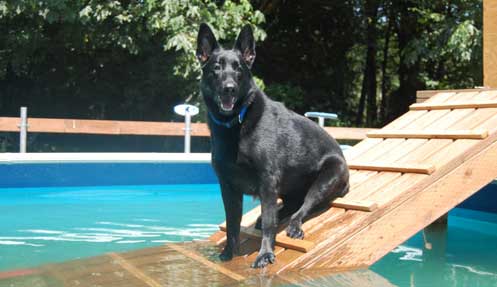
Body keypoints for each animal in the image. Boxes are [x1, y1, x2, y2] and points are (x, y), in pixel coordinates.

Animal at [196, 23, 346, 268]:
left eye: (238, 69)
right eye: (216, 67)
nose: (229, 88)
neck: (236, 122)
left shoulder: (267, 181)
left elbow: (269, 222)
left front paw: (265, 254)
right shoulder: (228, 187)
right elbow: (232, 224)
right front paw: (229, 253)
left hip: (327, 177)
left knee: (304, 206)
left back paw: (294, 225)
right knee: (291, 205)